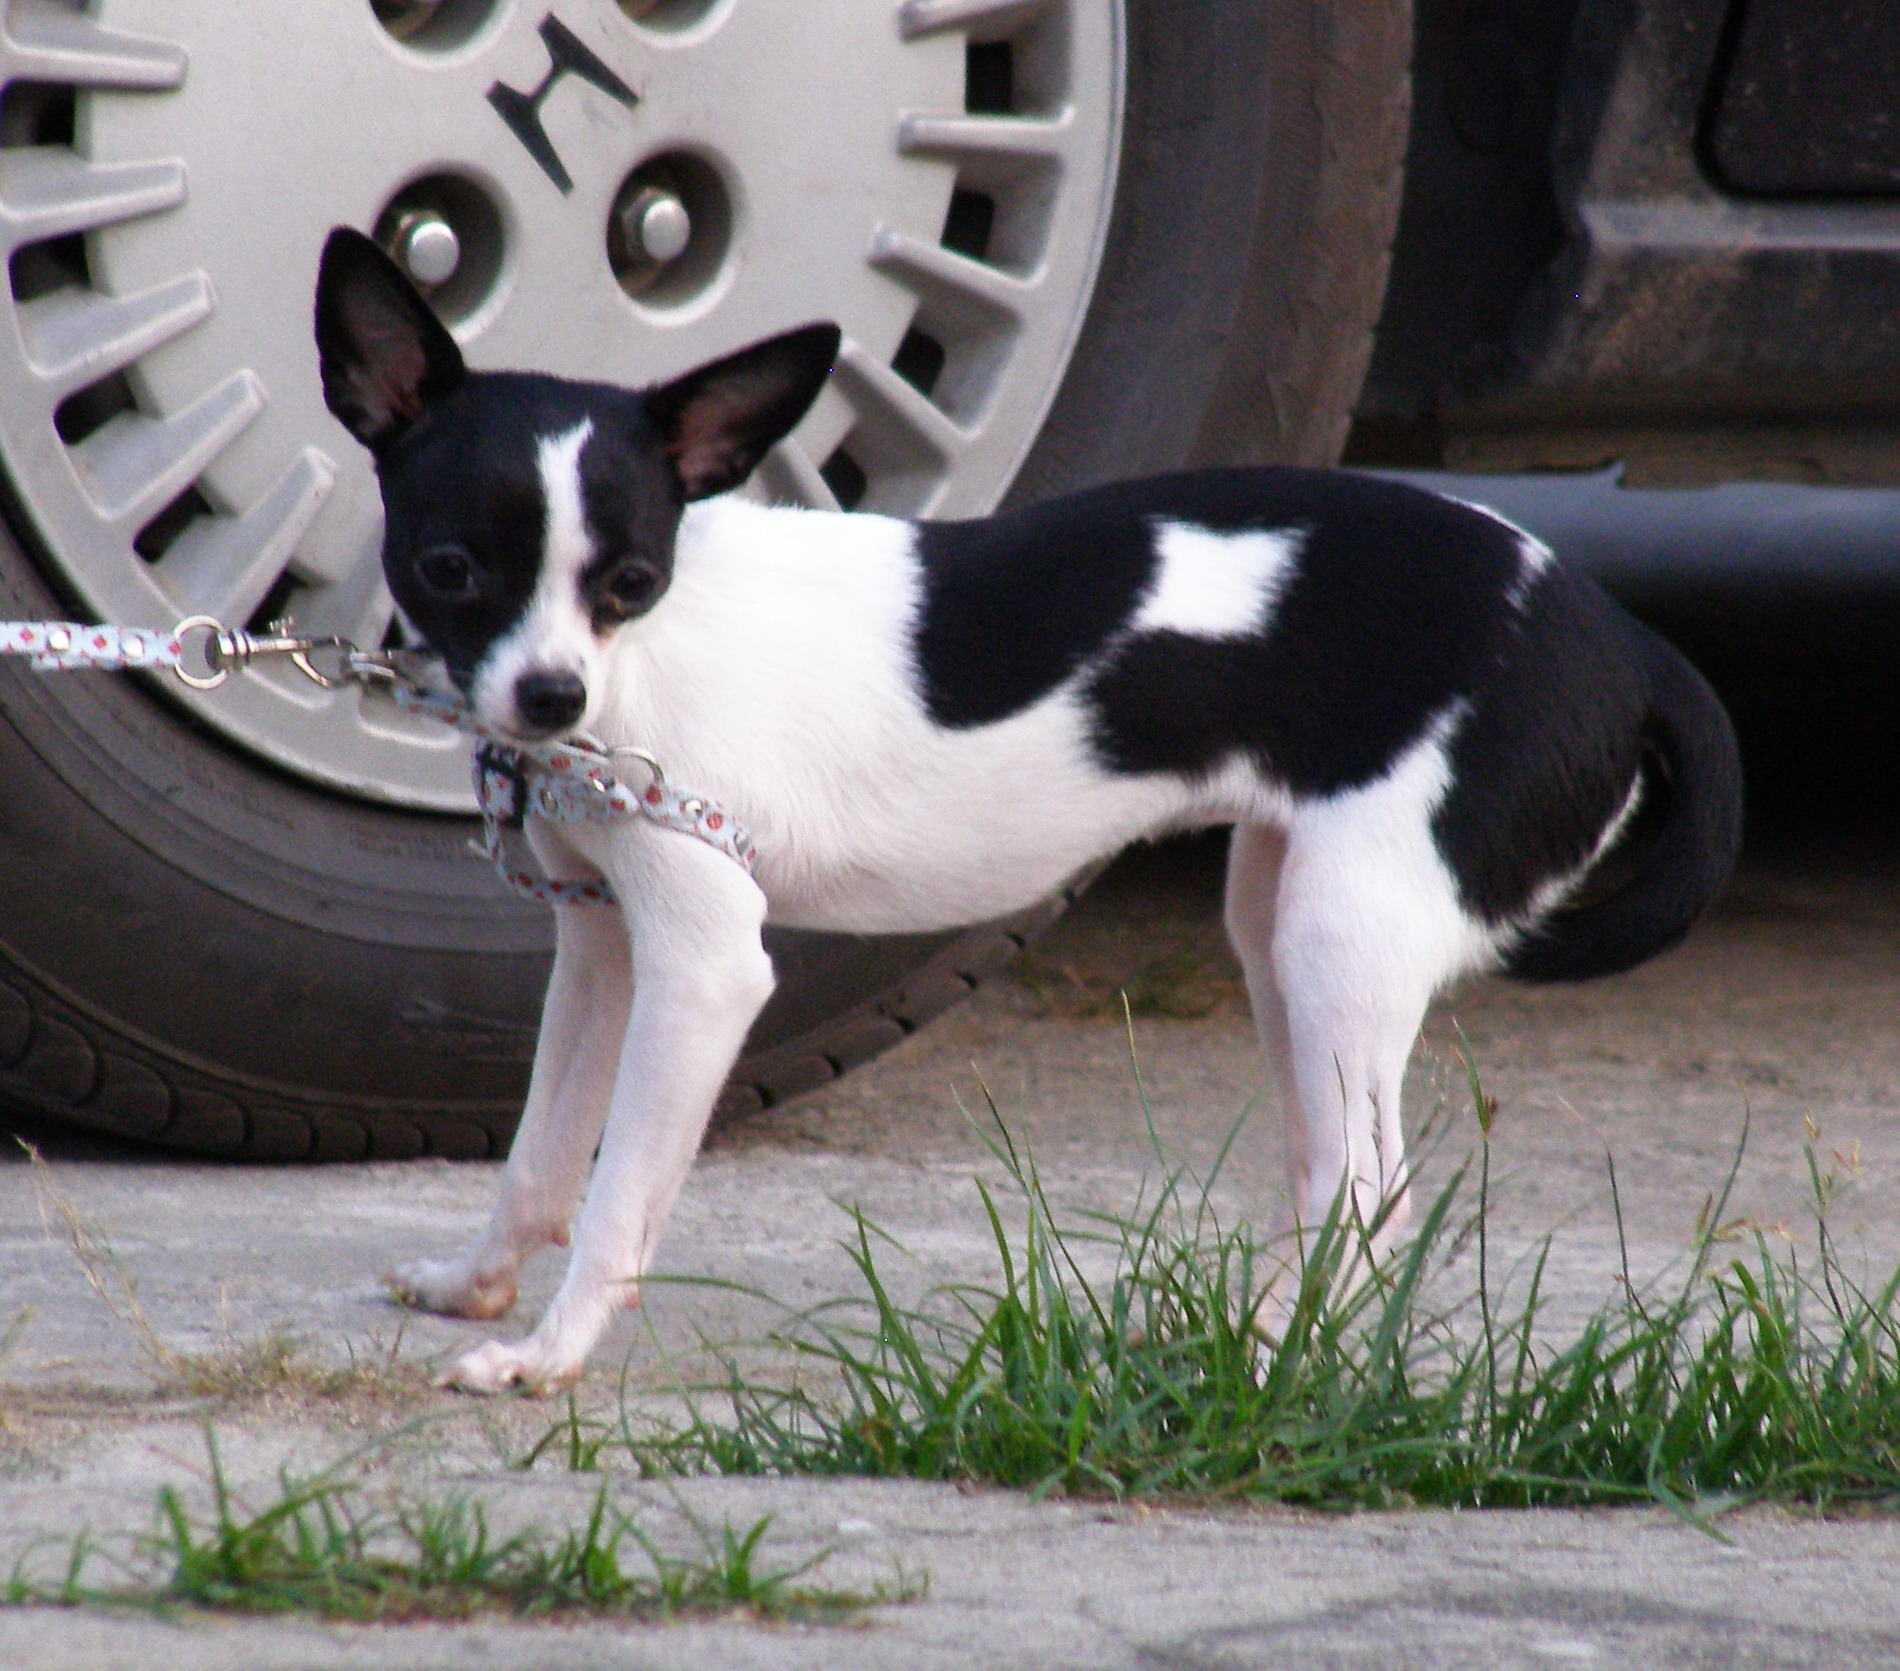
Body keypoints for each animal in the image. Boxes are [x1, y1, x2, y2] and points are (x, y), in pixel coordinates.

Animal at [314, 227, 1742, 1393]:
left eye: (630, 579)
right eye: (450, 568)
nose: (550, 696)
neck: (651, 658)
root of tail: (1611, 632)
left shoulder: (704, 972)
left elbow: (615, 1195)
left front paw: (549, 1354)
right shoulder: (604, 950)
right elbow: (541, 1154)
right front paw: (476, 1287)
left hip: (1345, 938)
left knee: (1370, 1192)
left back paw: (1277, 1362)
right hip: (1279, 929)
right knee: (1332, 1175)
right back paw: (1268, 1344)